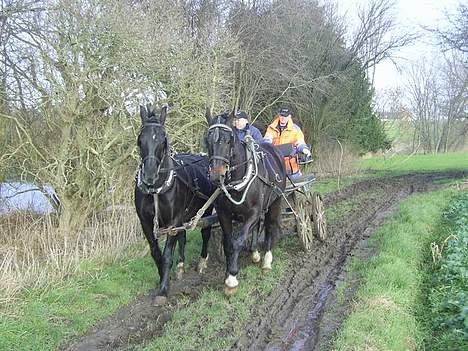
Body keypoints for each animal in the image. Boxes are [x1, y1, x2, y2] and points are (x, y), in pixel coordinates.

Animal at [135, 104, 216, 306]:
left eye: (163, 139)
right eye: (140, 139)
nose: (149, 176)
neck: (156, 190)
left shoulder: (173, 221)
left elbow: (166, 256)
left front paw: (163, 290)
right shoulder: (146, 223)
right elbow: (156, 253)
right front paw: (163, 276)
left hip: (206, 209)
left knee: (205, 232)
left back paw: (202, 262)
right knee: (183, 236)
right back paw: (180, 265)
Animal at [206, 111, 288, 296]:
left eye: (228, 139)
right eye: (207, 140)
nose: (215, 176)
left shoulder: (253, 213)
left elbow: (238, 241)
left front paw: (232, 278)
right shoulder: (224, 215)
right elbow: (228, 244)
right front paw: (227, 273)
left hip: (275, 202)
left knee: (269, 227)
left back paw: (266, 261)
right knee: (259, 226)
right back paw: (255, 253)